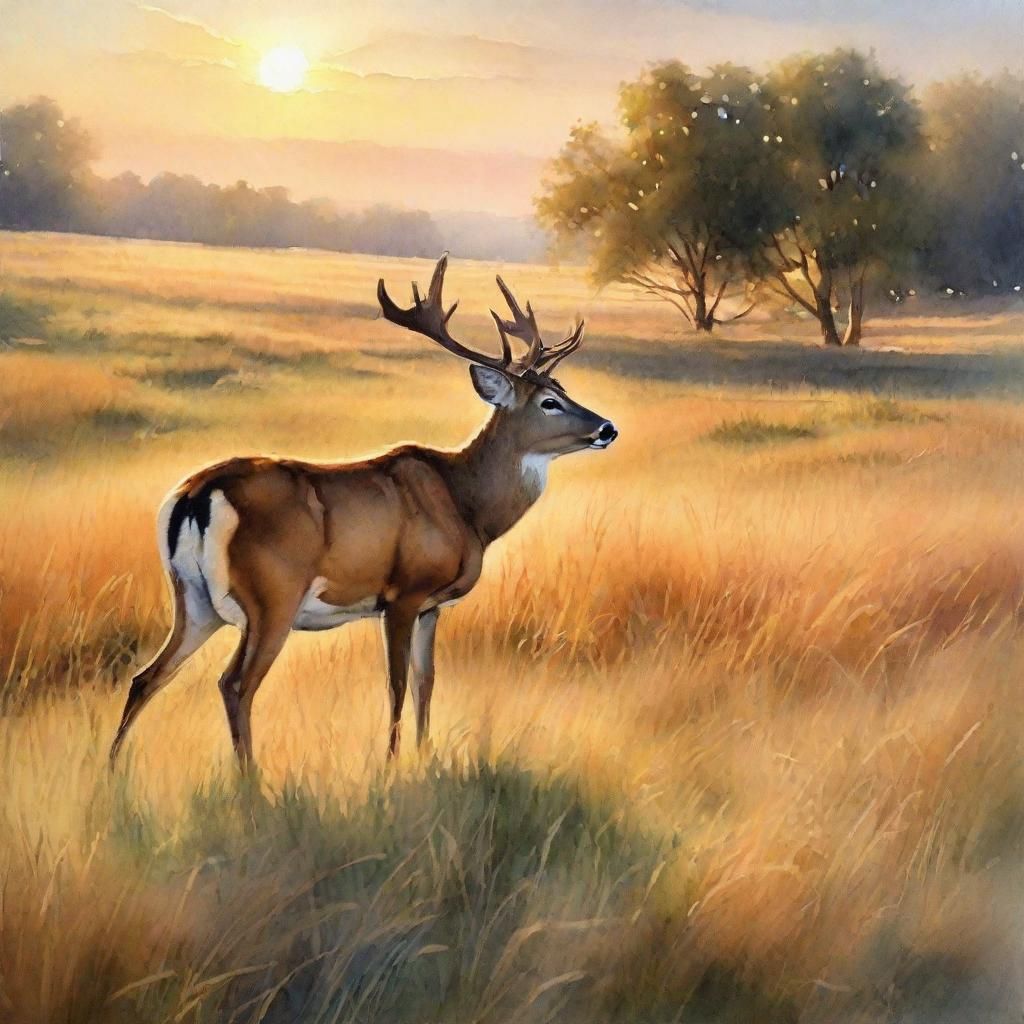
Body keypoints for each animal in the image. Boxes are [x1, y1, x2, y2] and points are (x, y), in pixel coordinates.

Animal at [109, 255, 617, 771]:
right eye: (549, 403)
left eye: (563, 389)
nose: (608, 428)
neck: (467, 506)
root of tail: (195, 494)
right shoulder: (403, 593)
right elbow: (396, 685)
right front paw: (390, 766)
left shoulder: (433, 607)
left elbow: (426, 682)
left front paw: (423, 756)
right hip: (271, 596)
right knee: (235, 684)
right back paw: (250, 779)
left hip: (192, 598)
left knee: (147, 677)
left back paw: (112, 771)